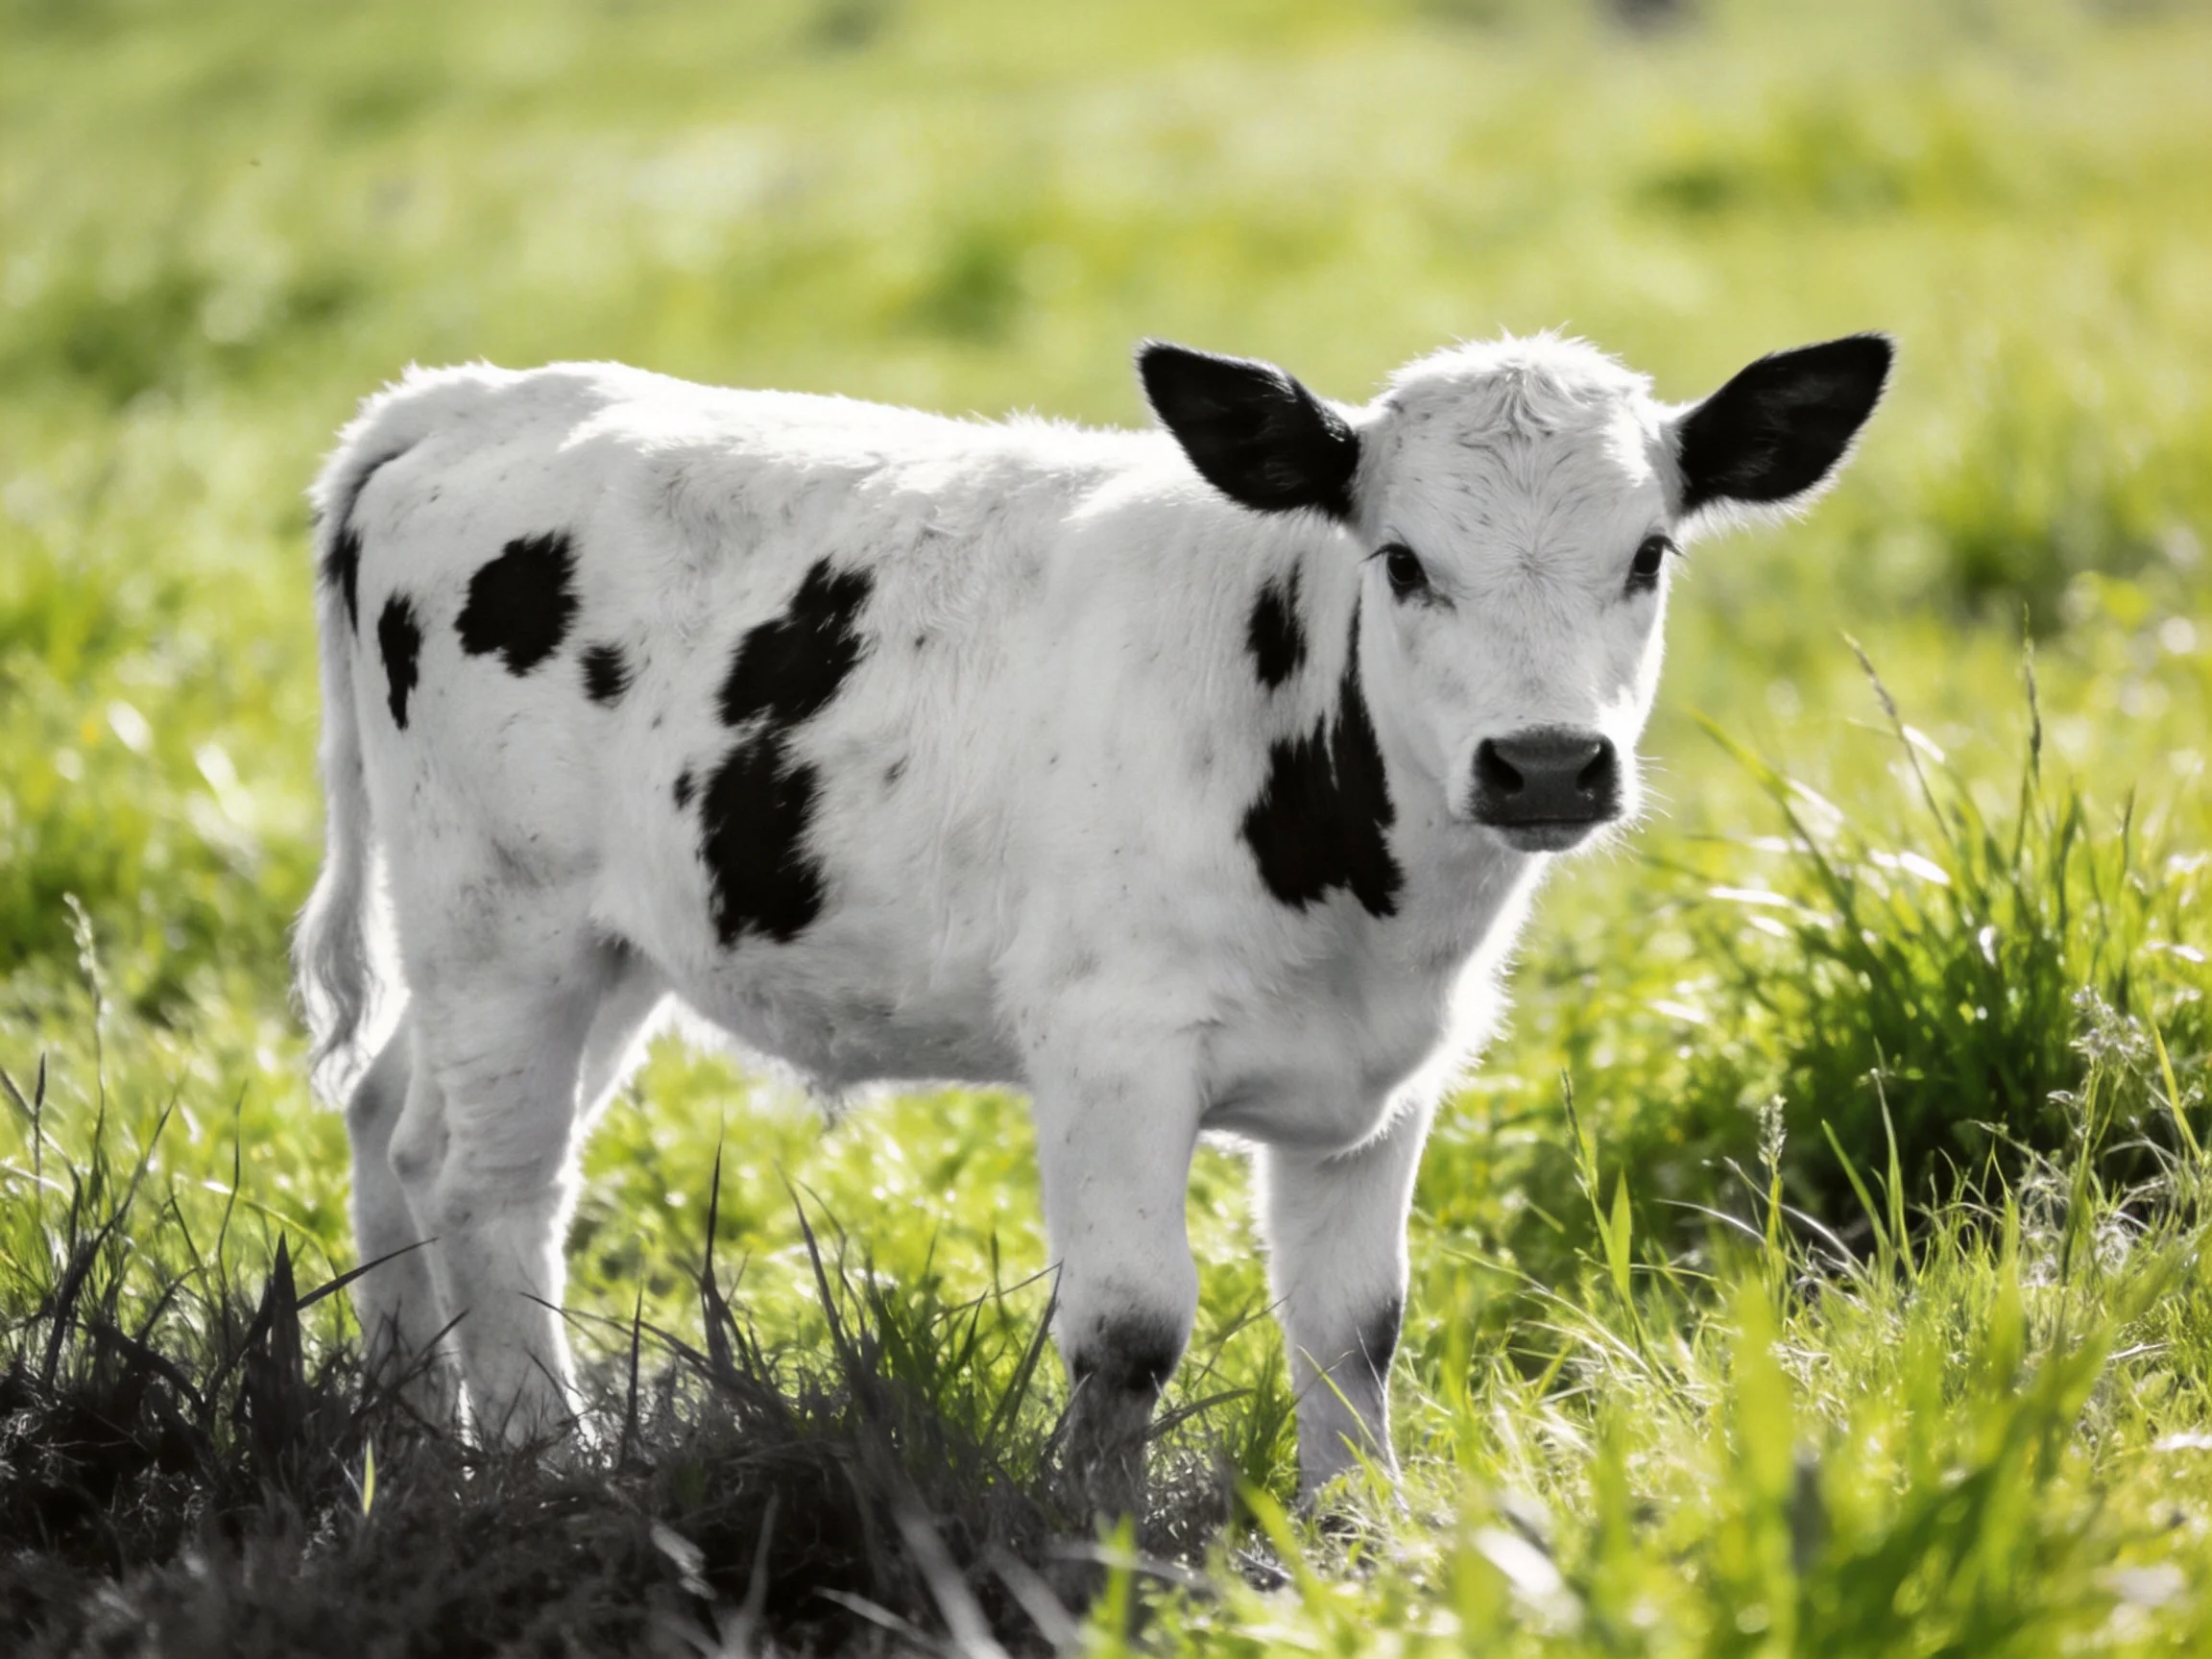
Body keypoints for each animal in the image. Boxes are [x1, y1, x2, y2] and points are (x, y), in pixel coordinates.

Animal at [295, 329, 1889, 1515]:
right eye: (1402, 562)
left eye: (1650, 556)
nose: (1548, 762)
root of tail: (470, 398)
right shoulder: (1108, 1048)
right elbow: (1130, 1328)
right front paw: (1093, 1540)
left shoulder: (1391, 1081)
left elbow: (1357, 1324)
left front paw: (1355, 1535)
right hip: (505, 922)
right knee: (493, 1184)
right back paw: (545, 1467)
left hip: (600, 943)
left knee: (395, 1122)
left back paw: (406, 1433)